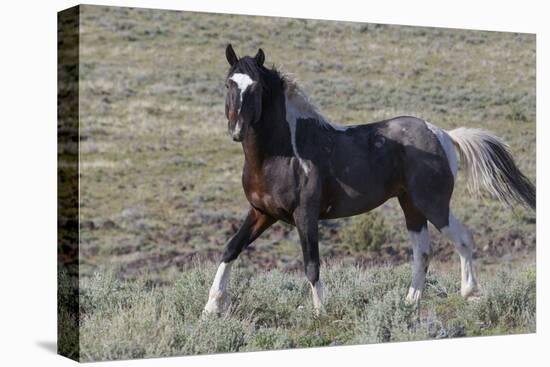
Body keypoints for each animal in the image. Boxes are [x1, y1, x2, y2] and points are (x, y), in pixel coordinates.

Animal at [203, 43, 536, 314]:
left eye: (256, 88)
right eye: (228, 83)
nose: (237, 131)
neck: (281, 154)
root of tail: (442, 134)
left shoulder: (305, 215)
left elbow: (312, 264)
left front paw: (321, 312)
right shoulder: (262, 212)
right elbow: (231, 248)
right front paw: (212, 307)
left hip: (433, 203)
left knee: (463, 239)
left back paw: (470, 293)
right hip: (411, 206)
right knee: (423, 252)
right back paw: (410, 303)